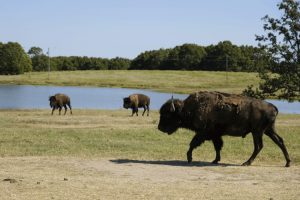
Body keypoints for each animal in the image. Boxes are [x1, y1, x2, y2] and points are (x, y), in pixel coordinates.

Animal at [157, 91, 290, 166]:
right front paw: (215, 160)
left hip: (257, 132)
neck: (189, 108)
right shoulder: (215, 135)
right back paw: (287, 163)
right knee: (279, 141)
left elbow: (193, 143)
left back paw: (246, 163)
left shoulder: (203, 133)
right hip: (268, 130)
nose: (159, 128)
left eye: (167, 115)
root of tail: (273, 107)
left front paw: (189, 158)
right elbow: (217, 147)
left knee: (258, 146)